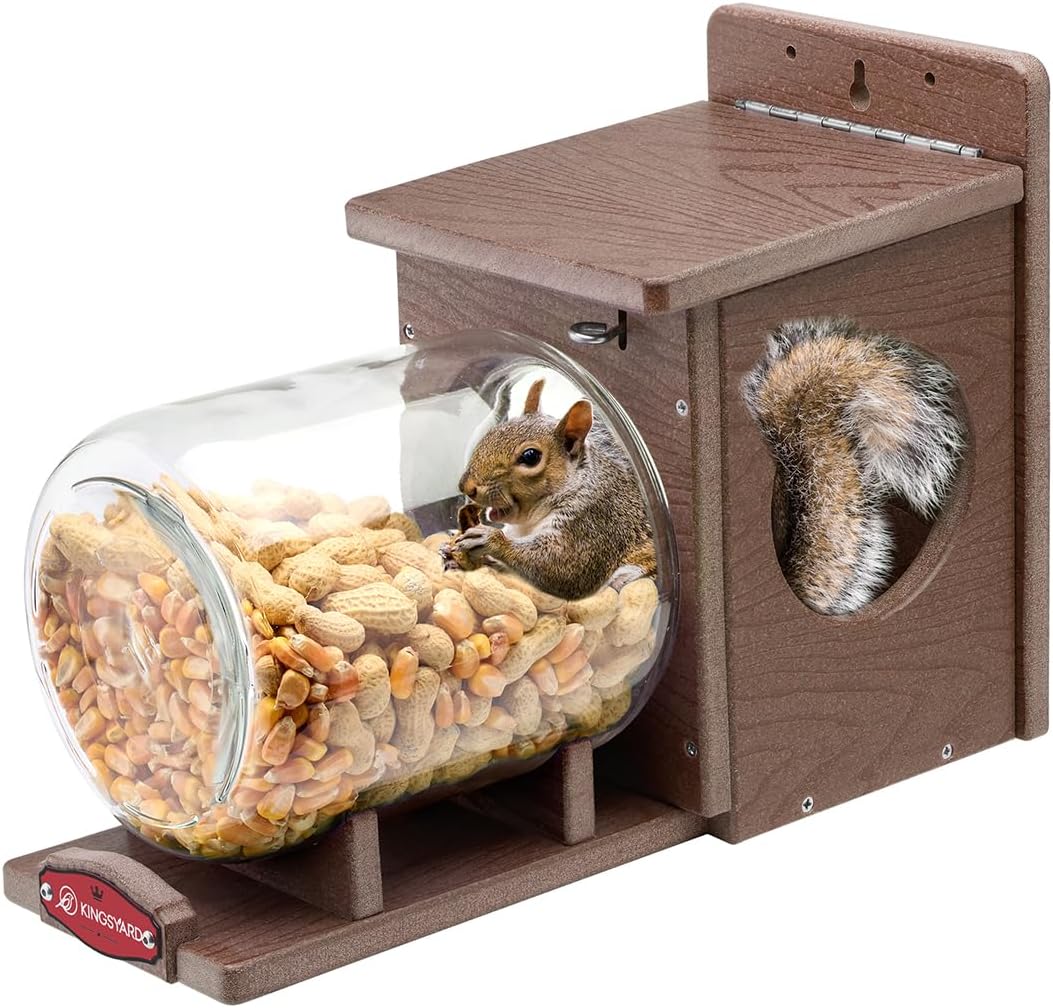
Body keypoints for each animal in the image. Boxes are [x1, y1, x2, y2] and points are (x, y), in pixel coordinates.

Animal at [447, 378, 655, 599]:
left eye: (530, 456)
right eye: (491, 433)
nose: (466, 487)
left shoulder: (595, 521)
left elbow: (564, 567)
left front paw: (490, 539)